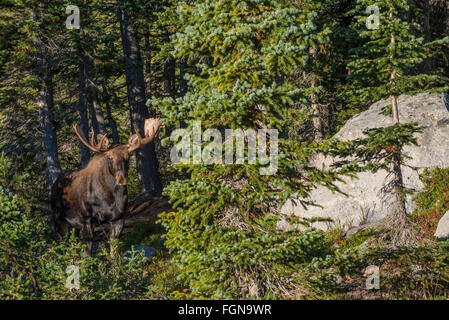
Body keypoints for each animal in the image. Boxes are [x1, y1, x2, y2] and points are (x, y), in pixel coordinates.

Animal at [50, 117, 162, 255]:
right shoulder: (86, 220)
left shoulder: (118, 218)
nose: (121, 179)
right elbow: (87, 253)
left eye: (128, 156)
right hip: (59, 219)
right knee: (63, 246)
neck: (108, 198)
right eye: (109, 157)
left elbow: (114, 250)